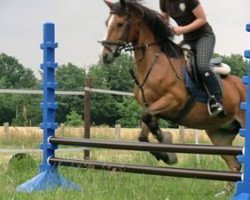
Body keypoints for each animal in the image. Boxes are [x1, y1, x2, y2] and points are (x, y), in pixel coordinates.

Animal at [99, 0, 246, 194]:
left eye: (121, 24)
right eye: (107, 23)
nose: (105, 56)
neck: (155, 62)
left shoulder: (173, 102)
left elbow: (147, 119)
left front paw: (165, 141)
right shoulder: (151, 107)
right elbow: (143, 133)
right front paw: (166, 150)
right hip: (219, 133)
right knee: (234, 164)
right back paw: (225, 193)